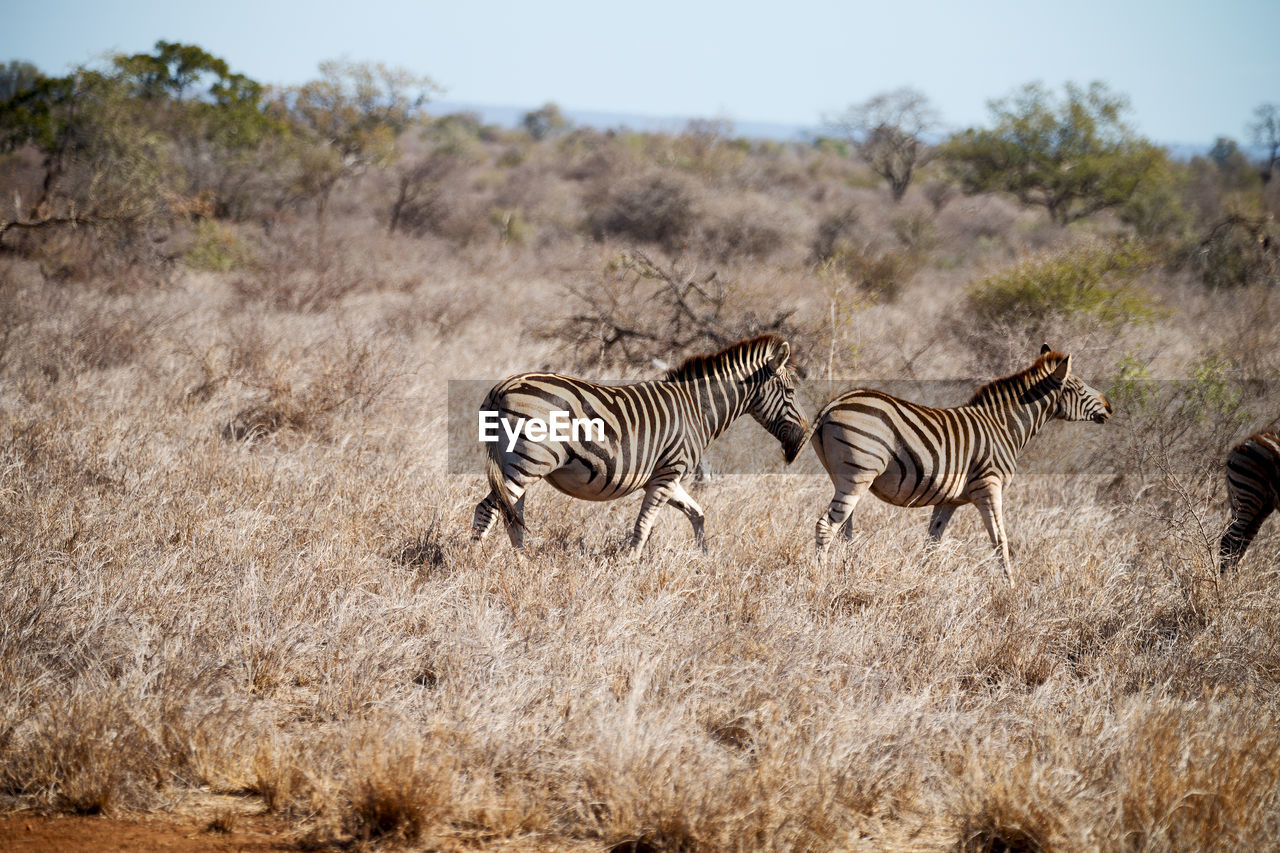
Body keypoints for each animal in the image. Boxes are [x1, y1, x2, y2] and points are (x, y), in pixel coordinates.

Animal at [471, 335, 808, 555]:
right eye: (791, 392)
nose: (805, 437)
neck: (696, 409)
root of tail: (501, 389)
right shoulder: (668, 473)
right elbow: (644, 526)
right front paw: (630, 566)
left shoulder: (665, 476)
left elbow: (697, 514)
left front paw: (704, 559)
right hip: (528, 463)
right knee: (488, 508)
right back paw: (474, 563)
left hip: (517, 464)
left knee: (511, 515)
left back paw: (521, 563)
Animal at [808, 345, 1111, 584]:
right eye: (1080, 387)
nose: (1110, 407)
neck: (1004, 427)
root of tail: (834, 403)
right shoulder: (989, 486)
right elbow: (1000, 540)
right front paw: (1011, 587)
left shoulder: (949, 500)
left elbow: (932, 542)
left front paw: (922, 580)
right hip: (857, 476)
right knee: (826, 525)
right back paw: (820, 579)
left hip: (845, 478)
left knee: (844, 528)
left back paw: (847, 572)